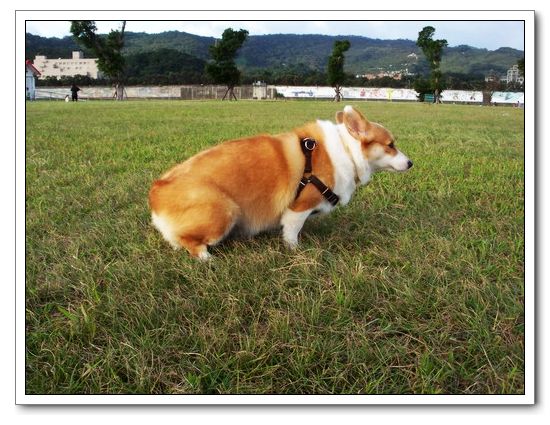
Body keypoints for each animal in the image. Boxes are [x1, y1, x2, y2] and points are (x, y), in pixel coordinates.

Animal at [149, 105, 412, 260]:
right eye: (390, 145)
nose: (410, 163)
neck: (347, 150)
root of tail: (157, 193)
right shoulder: (299, 207)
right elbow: (292, 232)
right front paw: (295, 250)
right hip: (225, 210)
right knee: (189, 242)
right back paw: (207, 258)